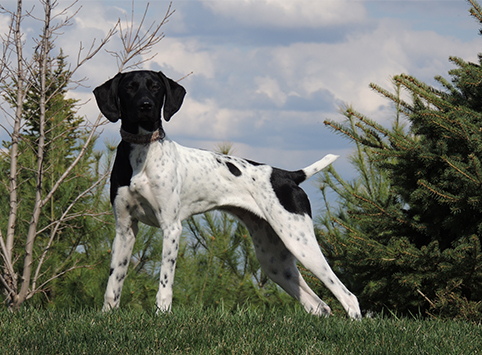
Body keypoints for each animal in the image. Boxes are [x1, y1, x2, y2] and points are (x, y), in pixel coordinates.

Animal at [93, 69, 362, 320]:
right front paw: (106, 316)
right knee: (320, 306)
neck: (142, 155)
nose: (146, 105)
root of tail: (288, 175)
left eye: (155, 87)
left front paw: (162, 315)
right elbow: (113, 283)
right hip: (275, 261)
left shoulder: (171, 228)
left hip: (301, 244)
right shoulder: (125, 229)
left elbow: (165, 283)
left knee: (348, 296)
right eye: (129, 87)